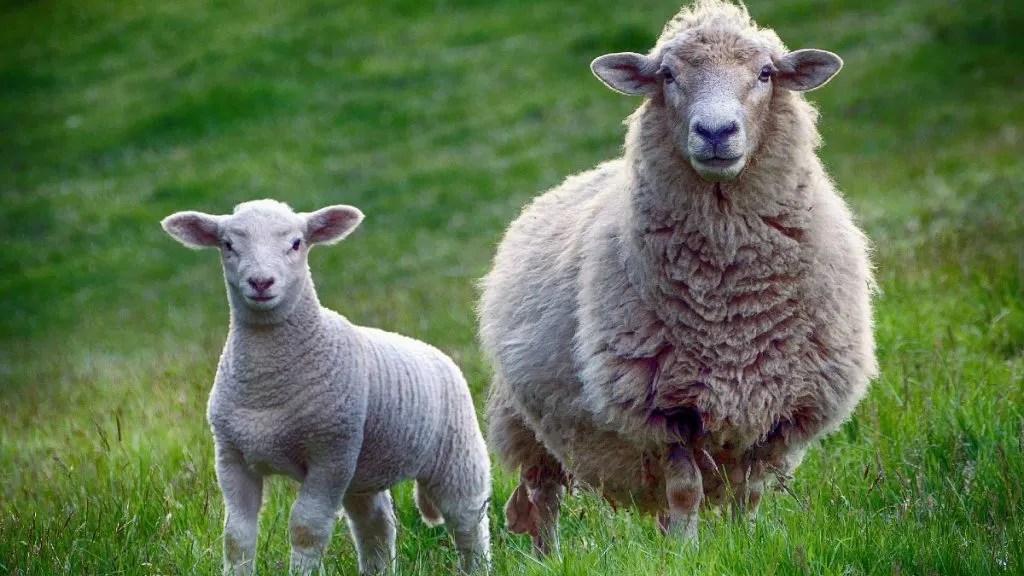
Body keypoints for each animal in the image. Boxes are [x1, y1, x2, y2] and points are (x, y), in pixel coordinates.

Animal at [161, 199, 491, 575]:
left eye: (296, 244)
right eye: (228, 245)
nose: (261, 282)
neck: (266, 385)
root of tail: (437, 354)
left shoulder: (330, 454)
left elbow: (307, 528)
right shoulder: (231, 456)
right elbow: (236, 535)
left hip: (457, 454)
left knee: (468, 521)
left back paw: (477, 563)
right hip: (363, 469)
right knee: (376, 526)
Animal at [479, 0, 877, 554]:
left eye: (766, 73)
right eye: (667, 75)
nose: (716, 132)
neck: (732, 305)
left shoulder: (779, 407)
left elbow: (749, 492)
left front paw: (744, 544)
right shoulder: (665, 410)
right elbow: (686, 490)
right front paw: (687, 552)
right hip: (525, 423)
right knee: (544, 496)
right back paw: (549, 557)